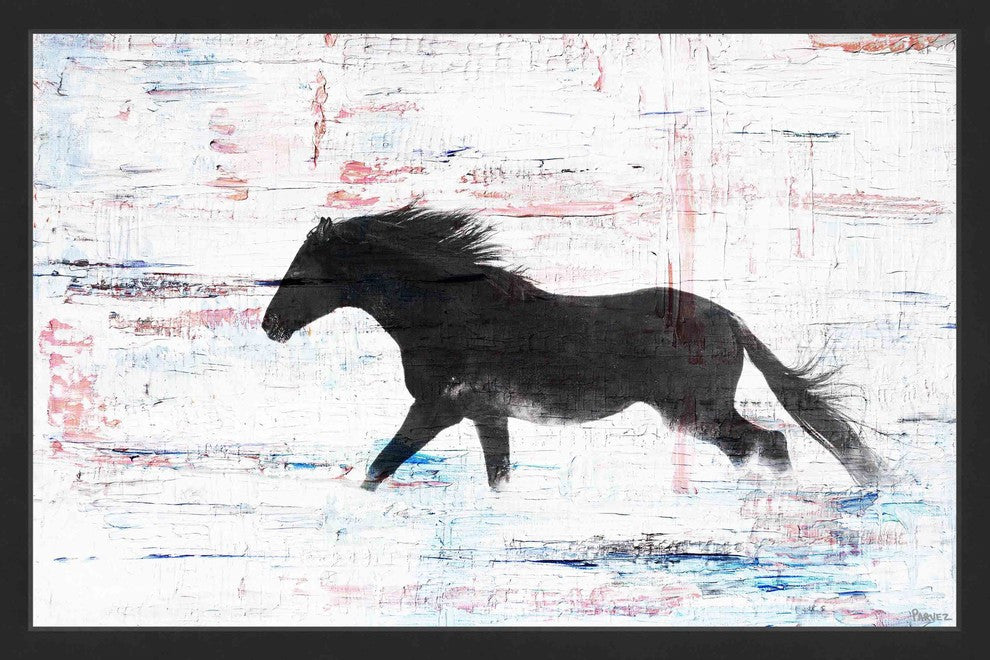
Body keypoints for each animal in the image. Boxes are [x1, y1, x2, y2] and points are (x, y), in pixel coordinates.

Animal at [262, 206, 884, 491]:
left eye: (302, 271)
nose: (271, 326)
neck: (449, 314)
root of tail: (730, 320)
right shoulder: (485, 414)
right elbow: (497, 474)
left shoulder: (438, 408)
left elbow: (380, 466)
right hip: (700, 414)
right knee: (757, 447)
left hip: (696, 411)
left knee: (770, 442)